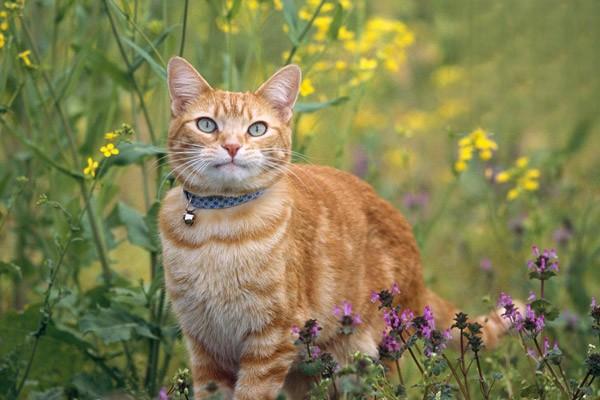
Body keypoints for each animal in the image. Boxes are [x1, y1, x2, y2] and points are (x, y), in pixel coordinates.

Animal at [161, 57, 510, 400]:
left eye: (257, 129)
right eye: (207, 125)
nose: (232, 146)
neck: (217, 230)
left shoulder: (270, 342)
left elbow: (251, 393)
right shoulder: (204, 344)